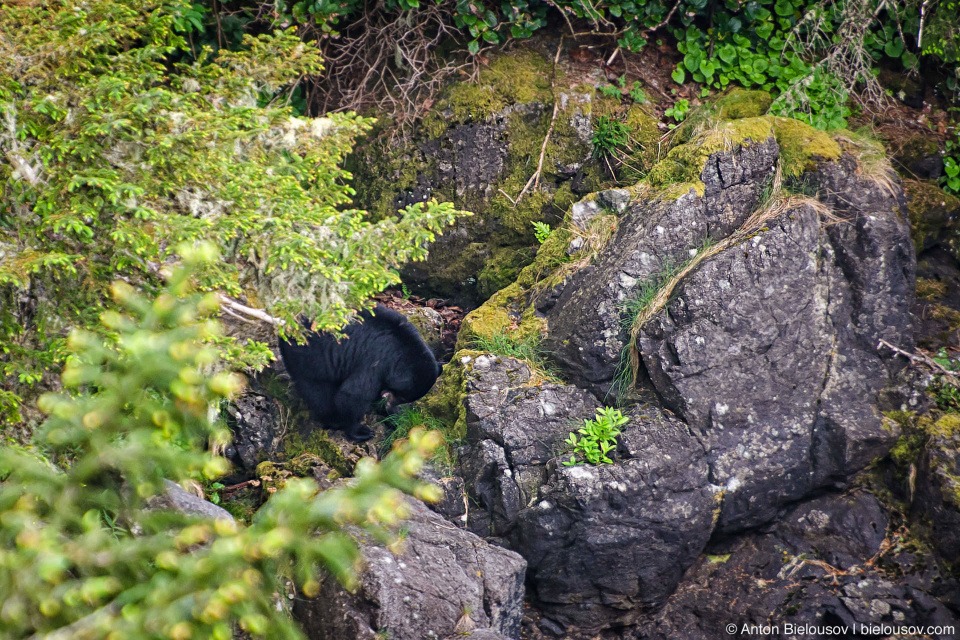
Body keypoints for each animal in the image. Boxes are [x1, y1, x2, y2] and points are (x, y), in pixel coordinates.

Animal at [278, 308, 442, 442]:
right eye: (402, 396)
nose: (390, 405)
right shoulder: (375, 360)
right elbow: (353, 394)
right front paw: (361, 431)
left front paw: (394, 418)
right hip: (310, 356)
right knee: (317, 390)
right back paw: (333, 420)